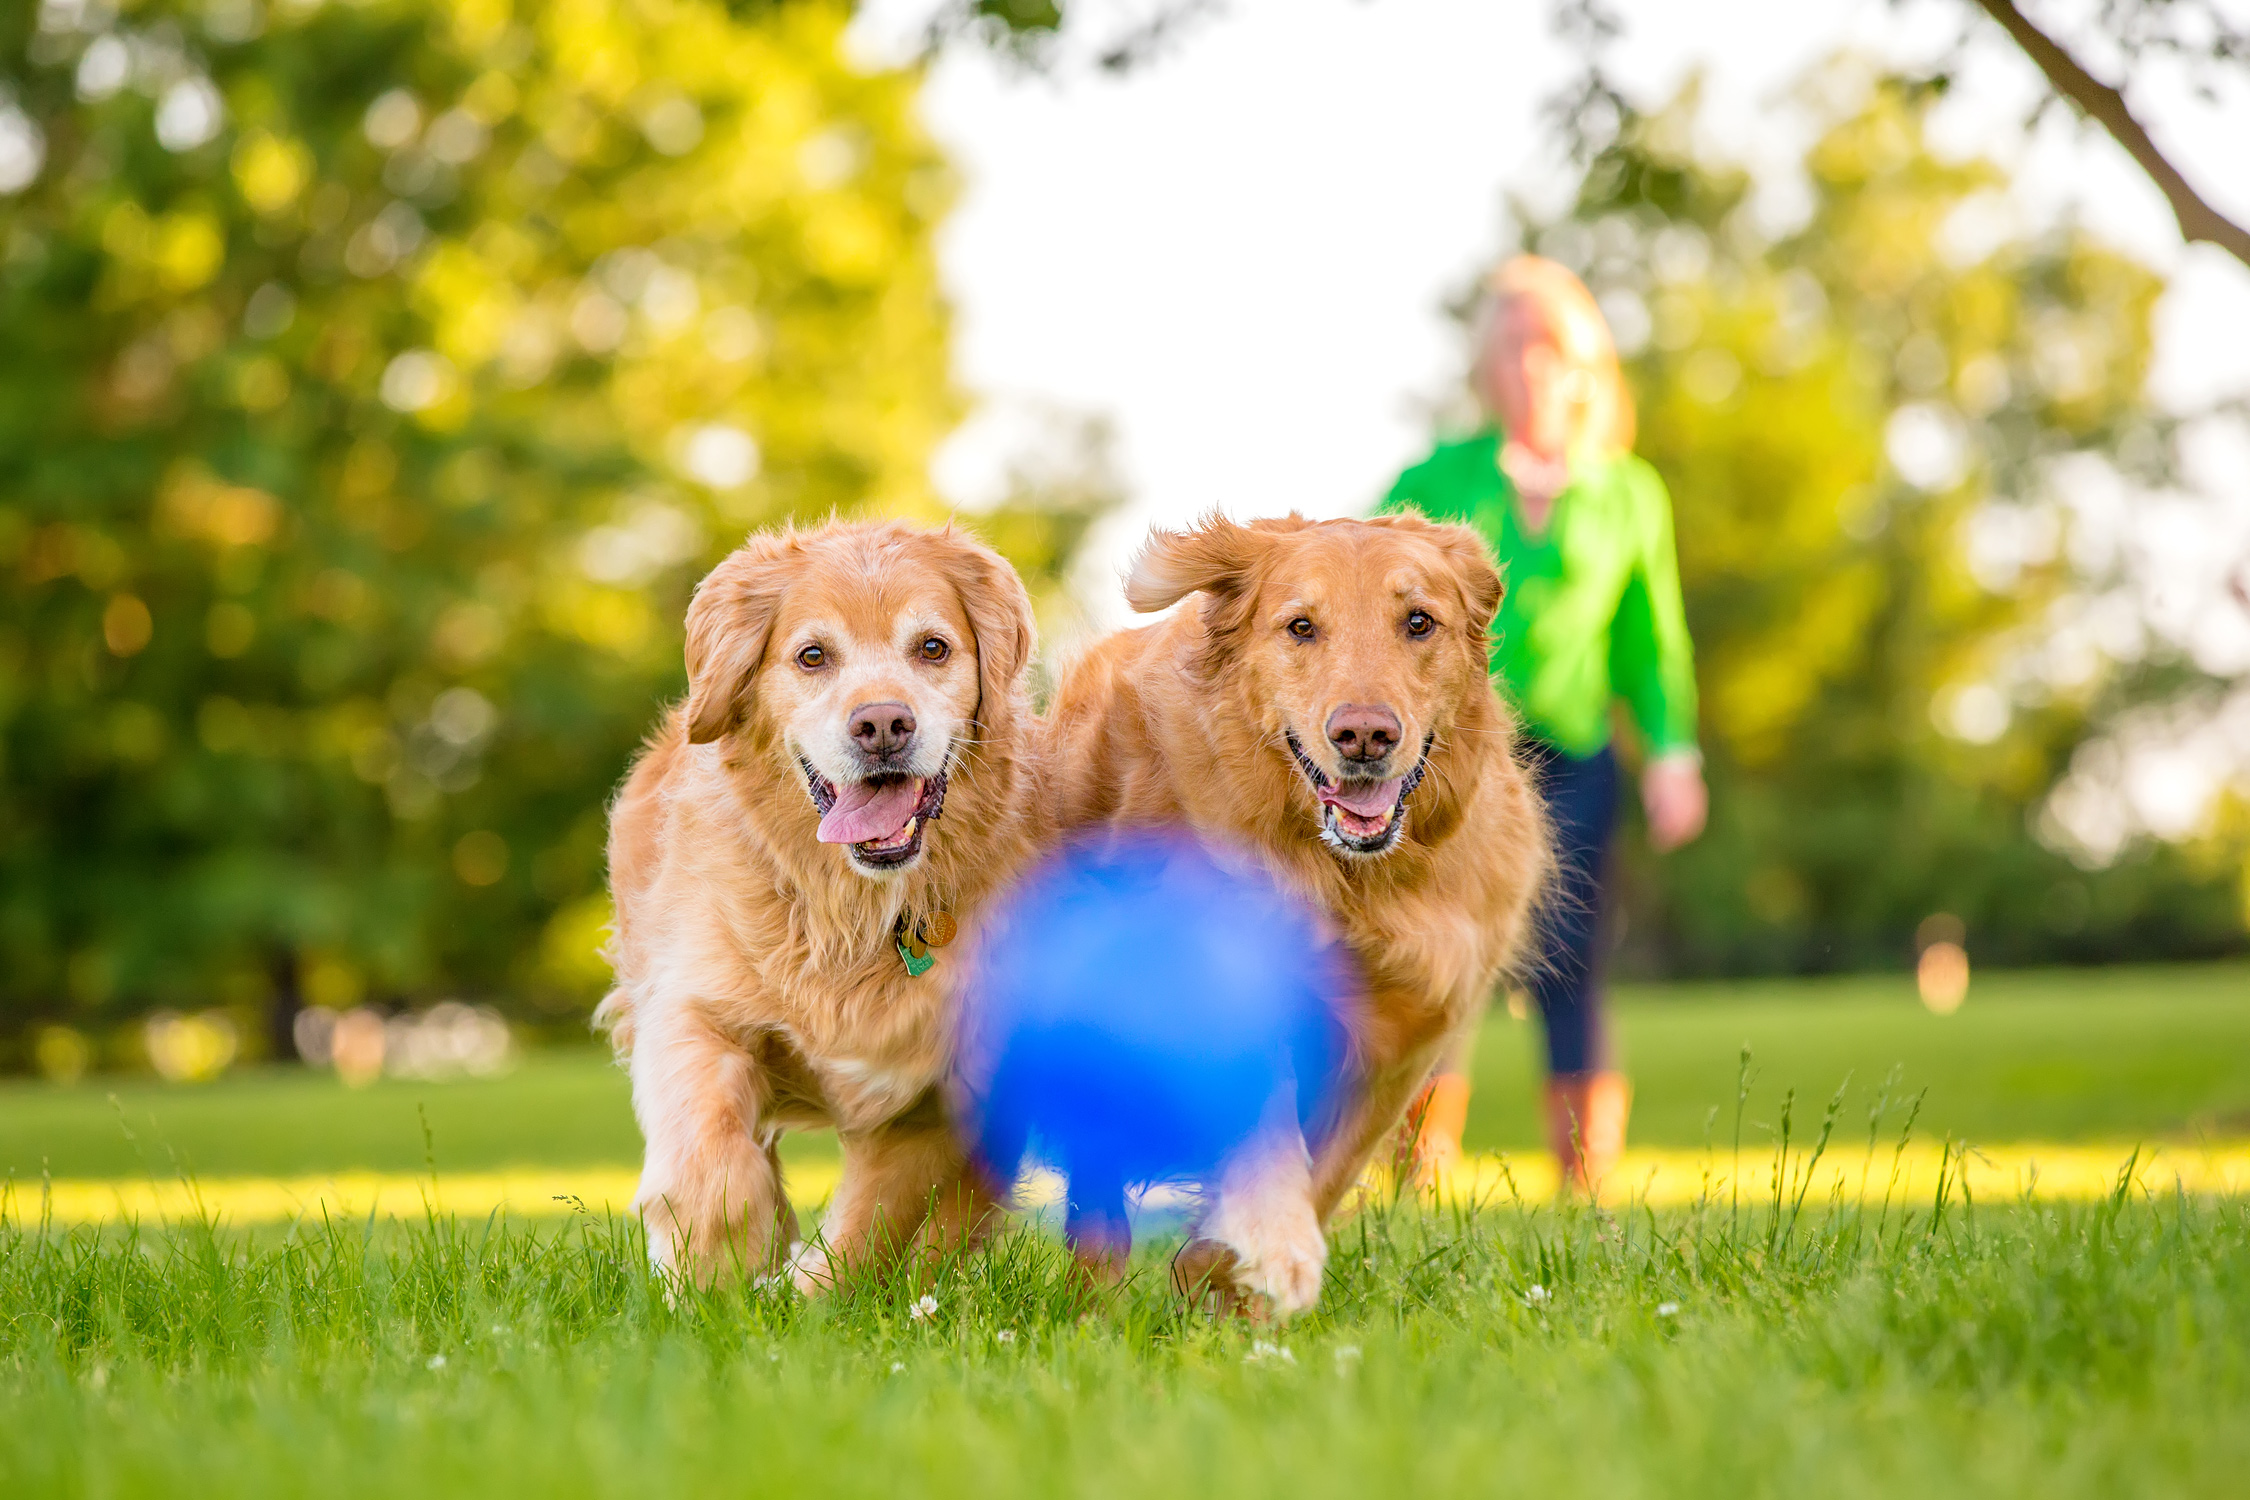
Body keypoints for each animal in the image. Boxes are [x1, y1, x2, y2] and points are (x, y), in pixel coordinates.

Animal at [607, 519, 1044, 1295]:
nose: (883, 724)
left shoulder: (940, 1097)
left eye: (933, 647)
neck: (853, 912)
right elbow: (711, 1163)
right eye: (813, 655)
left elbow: (874, 1227)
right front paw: (715, 1274)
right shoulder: (693, 1007)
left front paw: (803, 1293)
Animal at [1039, 512, 1548, 1313]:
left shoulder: (1407, 1036)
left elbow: (1326, 1170)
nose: (1364, 735)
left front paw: (1218, 1273)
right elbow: (1264, 1128)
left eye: (1419, 621)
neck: (1347, 881)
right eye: (1301, 626)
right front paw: (1273, 1252)